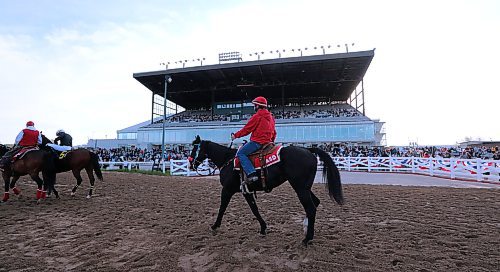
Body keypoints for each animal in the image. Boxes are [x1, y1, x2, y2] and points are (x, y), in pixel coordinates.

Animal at [190, 135, 344, 244]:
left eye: (194, 148)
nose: (191, 163)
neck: (227, 160)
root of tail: (308, 150)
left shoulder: (227, 189)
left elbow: (222, 207)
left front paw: (215, 226)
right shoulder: (246, 191)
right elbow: (254, 209)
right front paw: (263, 228)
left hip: (300, 188)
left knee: (311, 208)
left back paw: (307, 238)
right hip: (304, 187)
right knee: (315, 203)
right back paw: (306, 229)